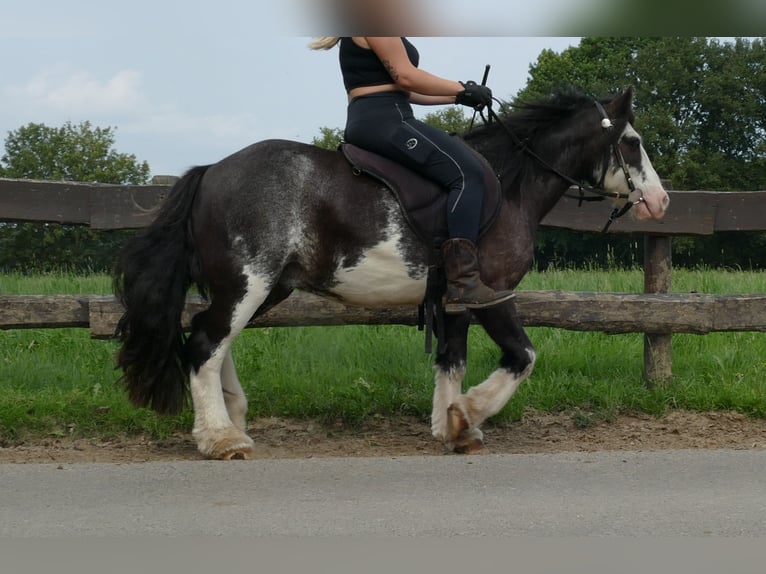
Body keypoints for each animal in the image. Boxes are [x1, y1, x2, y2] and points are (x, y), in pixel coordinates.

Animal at [114, 85, 672, 462]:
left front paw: (451, 427)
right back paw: (221, 438)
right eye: (633, 141)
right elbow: (522, 356)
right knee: (206, 343)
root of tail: (211, 171)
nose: (660, 202)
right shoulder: (492, 293)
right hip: (248, 283)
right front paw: (468, 413)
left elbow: (451, 360)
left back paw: (233, 417)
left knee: (209, 336)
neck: (508, 187)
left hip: (264, 289)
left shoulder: (453, 302)